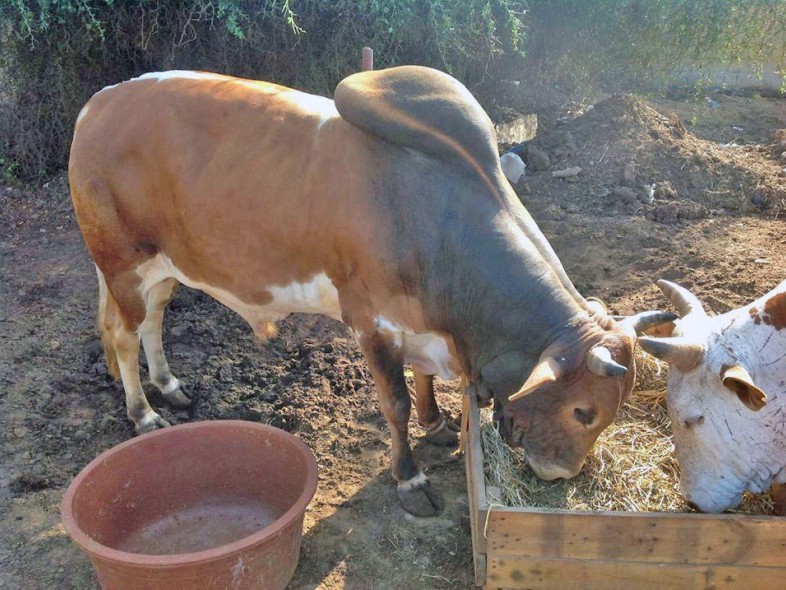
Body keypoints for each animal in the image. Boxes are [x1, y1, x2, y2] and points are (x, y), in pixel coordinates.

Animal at [70, 66, 668, 520]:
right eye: (583, 412)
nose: (562, 473)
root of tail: (99, 103)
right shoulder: (372, 325)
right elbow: (395, 403)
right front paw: (410, 479)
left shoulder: (420, 324)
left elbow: (423, 379)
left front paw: (437, 423)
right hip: (123, 264)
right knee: (122, 336)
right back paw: (144, 412)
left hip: (162, 268)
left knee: (152, 321)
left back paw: (169, 385)